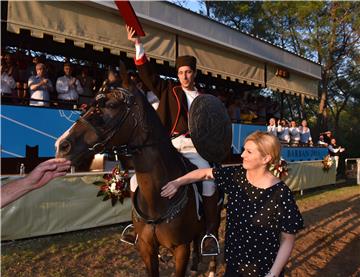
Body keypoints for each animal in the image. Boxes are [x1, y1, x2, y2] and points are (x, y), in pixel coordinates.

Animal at [55, 63, 221, 274]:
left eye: (111, 105)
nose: (62, 146)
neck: (158, 199)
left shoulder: (180, 249)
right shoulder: (146, 248)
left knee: (210, 231)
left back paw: (211, 264)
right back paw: (195, 264)